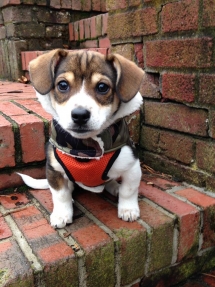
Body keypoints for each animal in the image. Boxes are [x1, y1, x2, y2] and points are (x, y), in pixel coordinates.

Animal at [18, 49, 144, 230]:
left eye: (102, 87)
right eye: (63, 85)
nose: (79, 115)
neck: (85, 147)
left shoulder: (132, 166)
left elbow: (129, 191)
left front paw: (128, 209)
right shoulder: (54, 170)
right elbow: (60, 195)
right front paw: (62, 214)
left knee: (110, 181)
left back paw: (115, 187)